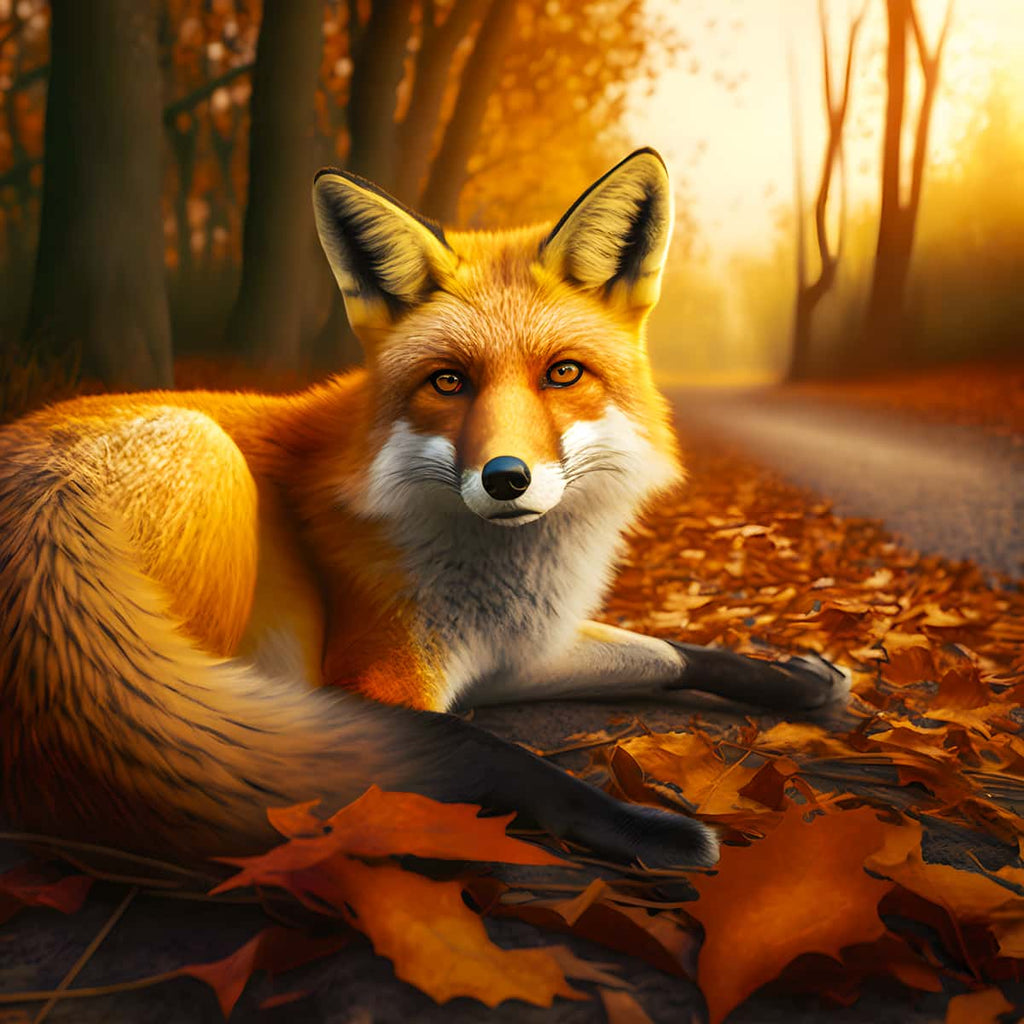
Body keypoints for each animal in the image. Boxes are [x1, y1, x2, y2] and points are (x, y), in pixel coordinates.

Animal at [0, 149, 847, 873]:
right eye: (448, 382)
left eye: (563, 374)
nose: (506, 479)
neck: (499, 583)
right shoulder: (377, 674)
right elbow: (490, 751)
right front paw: (638, 825)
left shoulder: (510, 655)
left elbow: (672, 655)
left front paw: (797, 679)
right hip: (205, 470)